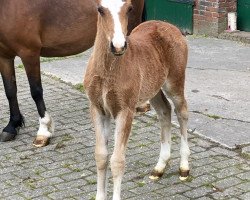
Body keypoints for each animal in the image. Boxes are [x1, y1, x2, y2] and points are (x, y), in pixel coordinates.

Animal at [0, 0, 145, 147]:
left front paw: (43, 131)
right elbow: (10, 91)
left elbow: (36, 92)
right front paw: (12, 126)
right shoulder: (4, 56)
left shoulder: (29, 53)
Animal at [84, 0, 189, 199]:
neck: (107, 72)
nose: (118, 46)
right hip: (153, 88)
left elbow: (117, 161)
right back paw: (159, 168)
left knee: (182, 113)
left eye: (129, 8)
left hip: (175, 82)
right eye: (100, 9)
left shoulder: (126, 110)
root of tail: (169, 25)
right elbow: (101, 156)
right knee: (165, 111)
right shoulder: (98, 108)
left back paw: (184, 167)